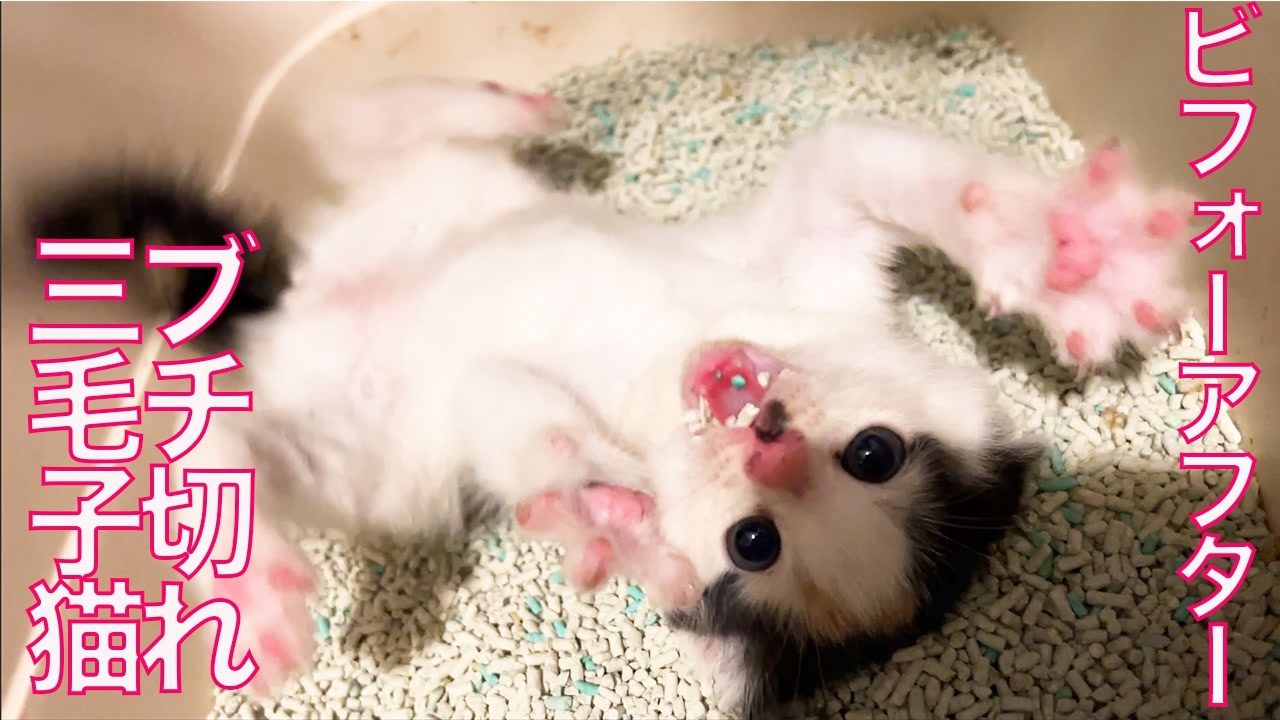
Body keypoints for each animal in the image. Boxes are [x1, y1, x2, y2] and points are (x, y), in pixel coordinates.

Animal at [27, 75, 1195, 718]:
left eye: (754, 545)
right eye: (877, 451)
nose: (768, 440)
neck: (667, 358)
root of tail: (288, 310)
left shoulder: (472, 410)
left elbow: (513, 415)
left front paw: (599, 512)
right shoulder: (806, 256)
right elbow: (866, 157)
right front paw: (1059, 251)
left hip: (358, 459)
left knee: (224, 416)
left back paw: (250, 564)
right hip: (437, 191)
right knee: (351, 125)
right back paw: (506, 100)